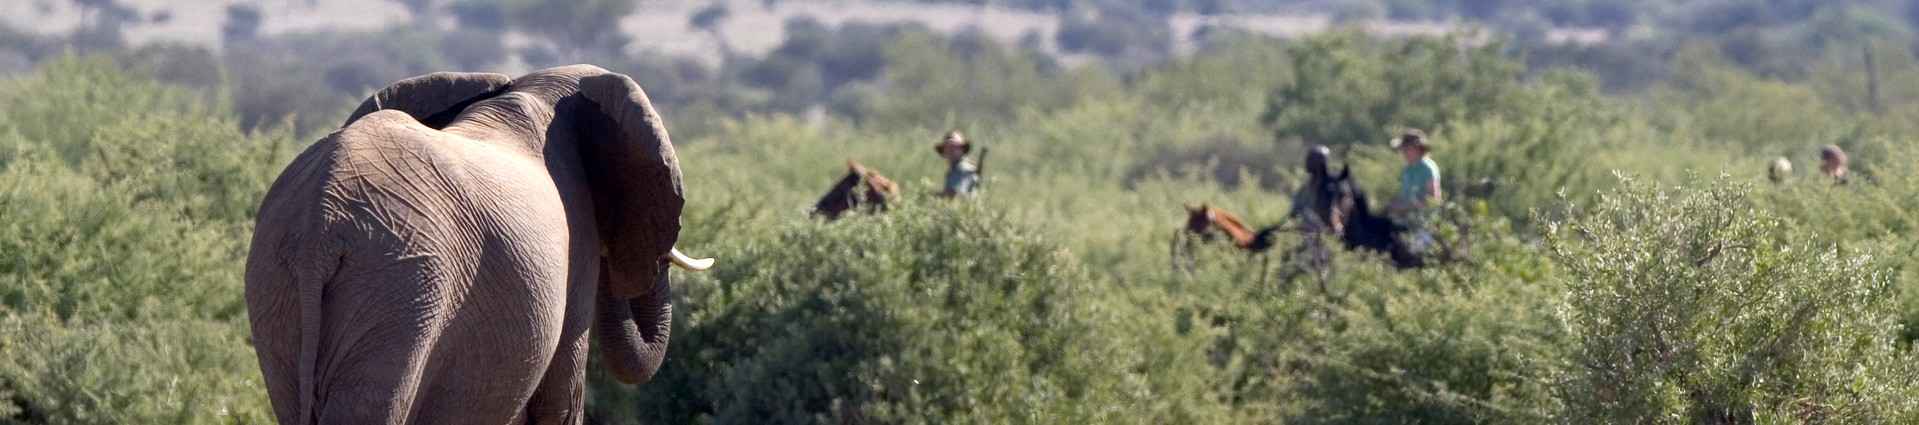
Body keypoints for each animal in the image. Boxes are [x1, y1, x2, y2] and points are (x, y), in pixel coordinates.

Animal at [243, 63, 717, 425]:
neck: (533, 89)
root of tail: (320, 220)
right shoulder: (577, 235)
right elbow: (561, 394)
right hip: (400, 284)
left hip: (274, 283)